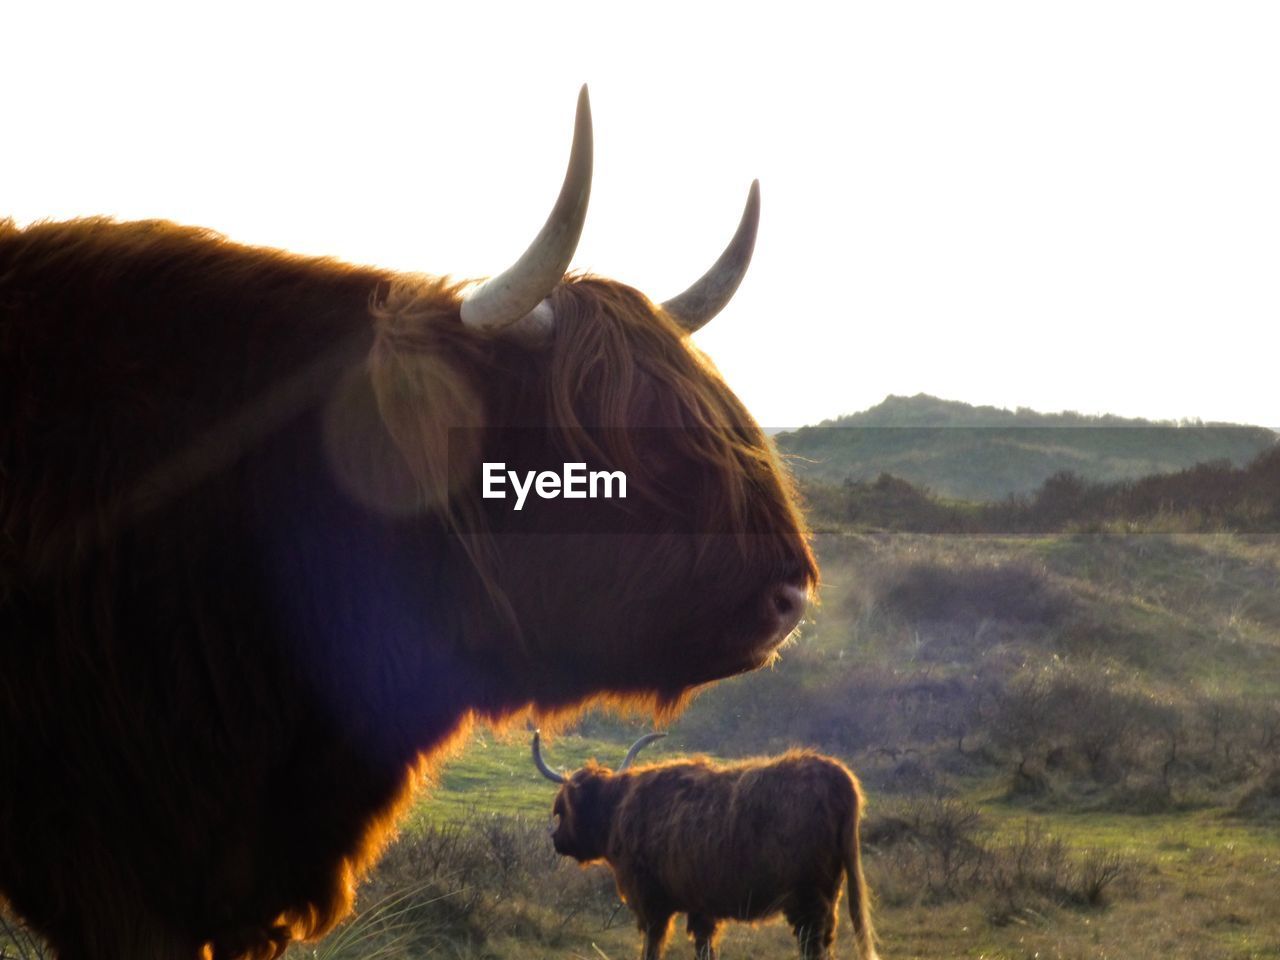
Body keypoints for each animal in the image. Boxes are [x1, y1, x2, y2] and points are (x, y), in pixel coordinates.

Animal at [532, 732, 880, 957]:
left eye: (562, 809)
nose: (555, 839)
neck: (618, 809)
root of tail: (836, 774)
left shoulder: (651, 901)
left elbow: (653, 946)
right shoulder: (700, 905)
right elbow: (704, 946)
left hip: (807, 897)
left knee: (812, 945)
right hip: (830, 892)